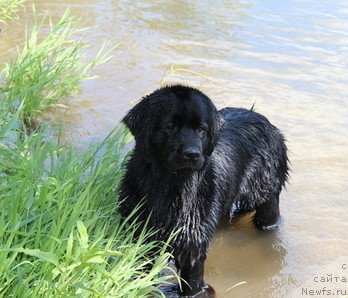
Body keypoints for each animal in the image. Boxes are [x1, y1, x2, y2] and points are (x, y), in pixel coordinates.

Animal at [119, 85, 288, 296]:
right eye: (170, 126)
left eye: (201, 129)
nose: (192, 154)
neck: (172, 187)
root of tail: (267, 122)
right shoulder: (138, 230)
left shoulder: (192, 242)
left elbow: (193, 282)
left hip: (267, 196)